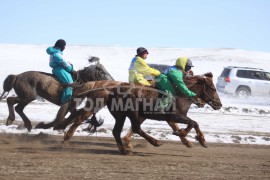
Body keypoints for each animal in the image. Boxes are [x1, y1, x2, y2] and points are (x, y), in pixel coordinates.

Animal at [62, 73, 223, 155]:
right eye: (213, 88)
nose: (219, 104)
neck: (181, 93)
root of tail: (112, 90)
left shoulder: (174, 117)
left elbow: (192, 123)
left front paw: (193, 139)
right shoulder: (174, 116)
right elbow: (193, 122)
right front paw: (194, 137)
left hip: (121, 115)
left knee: (118, 131)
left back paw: (124, 149)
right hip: (132, 112)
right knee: (135, 127)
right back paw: (155, 142)